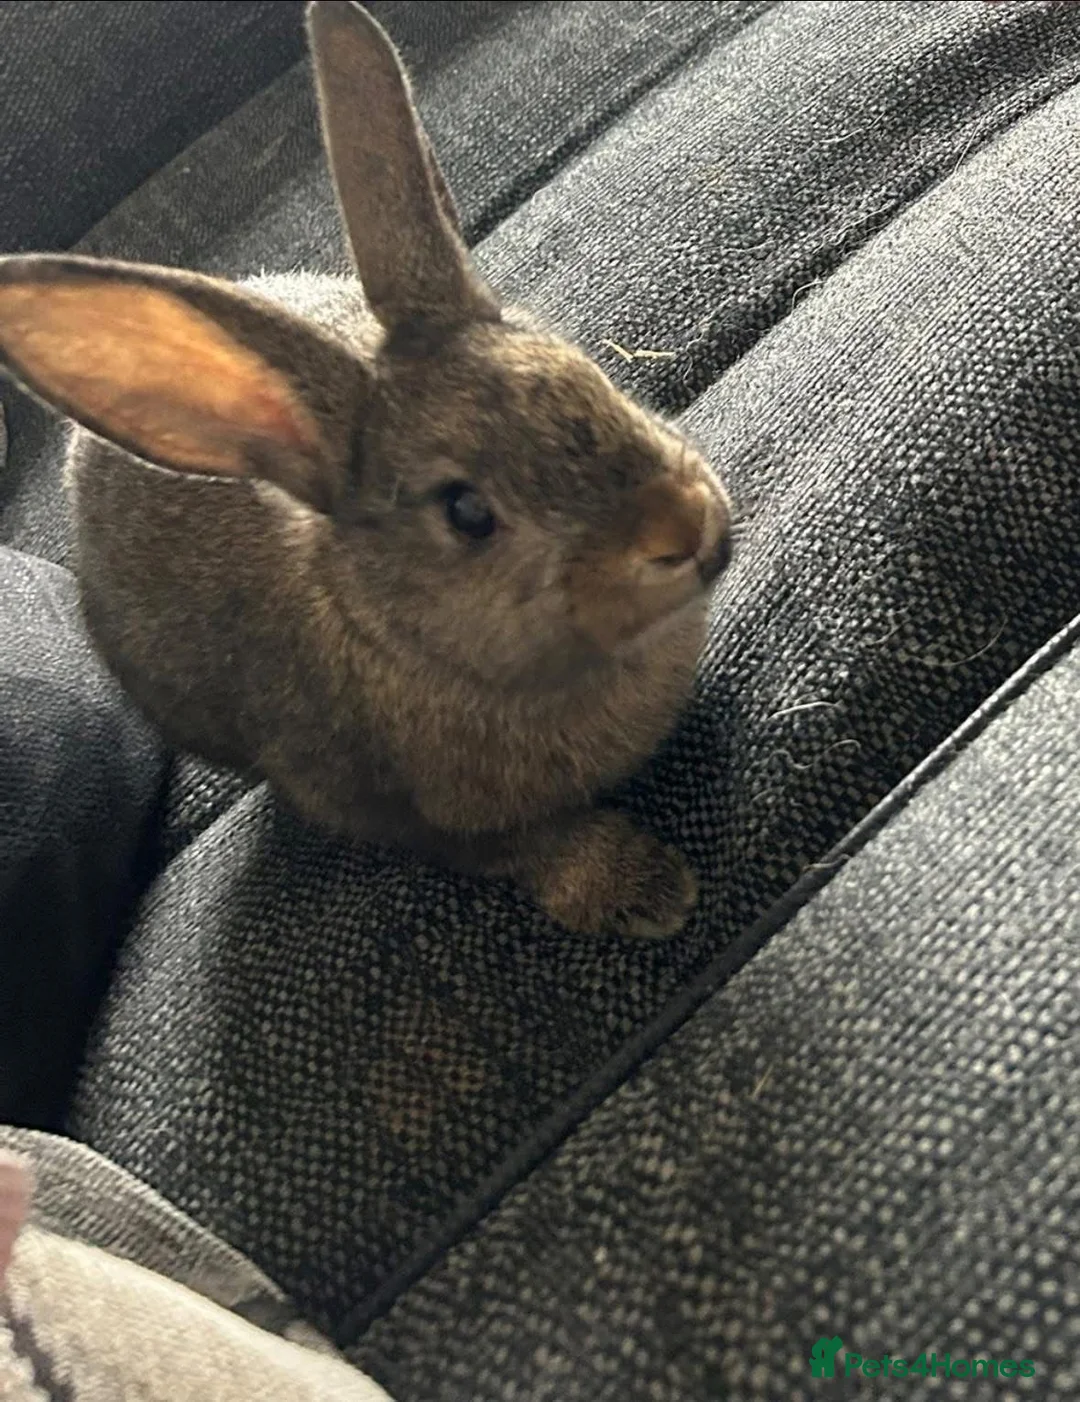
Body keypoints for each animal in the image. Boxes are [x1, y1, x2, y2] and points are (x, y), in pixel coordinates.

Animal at [0, 0, 731, 939]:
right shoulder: (395, 810)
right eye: (466, 512)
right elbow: (521, 849)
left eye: (586, 375)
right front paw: (642, 890)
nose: (683, 523)